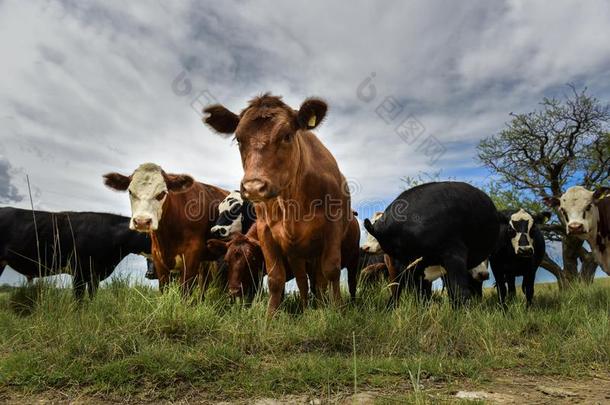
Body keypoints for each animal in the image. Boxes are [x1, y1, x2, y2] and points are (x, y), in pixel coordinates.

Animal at [102, 163, 228, 296]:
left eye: (162, 193)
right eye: (130, 192)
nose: (142, 221)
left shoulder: (191, 257)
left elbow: (185, 292)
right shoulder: (158, 259)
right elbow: (164, 290)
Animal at [204, 95, 354, 316]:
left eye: (287, 135)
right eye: (238, 139)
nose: (254, 187)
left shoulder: (332, 228)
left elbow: (331, 270)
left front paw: (338, 312)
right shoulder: (266, 232)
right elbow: (276, 279)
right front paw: (270, 317)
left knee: (320, 281)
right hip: (297, 253)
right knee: (303, 282)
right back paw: (306, 309)